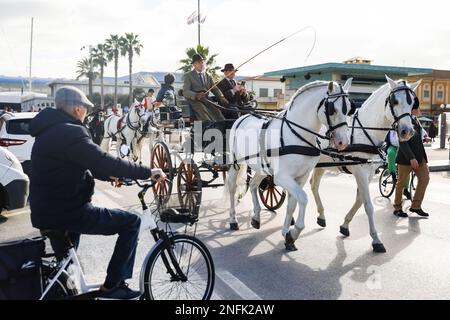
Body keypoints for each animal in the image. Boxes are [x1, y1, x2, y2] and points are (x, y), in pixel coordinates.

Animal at [227, 79, 354, 250]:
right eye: (332, 109)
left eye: (349, 109)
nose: (343, 142)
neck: (297, 136)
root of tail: (243, 116)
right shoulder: (282, 178)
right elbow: (303, 199)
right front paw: (295, 232)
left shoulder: (301, 177)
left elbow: (292, 204)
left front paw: (287, 234)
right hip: (236, 162)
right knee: (232, 188)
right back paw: (233, 220)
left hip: (261, 167)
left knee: (253, 185)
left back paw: (256, 217)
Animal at [310, 75, 418, 252]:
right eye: (394, 101)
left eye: (412, 103)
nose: (407, 131)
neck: (365, 131)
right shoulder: (360, 172)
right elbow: (368, 205)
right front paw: (376, 239)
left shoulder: (368, 173)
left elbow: (360, 200)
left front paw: (345, 225)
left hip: (322, 164)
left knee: (313, 185)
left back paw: (321, 216)